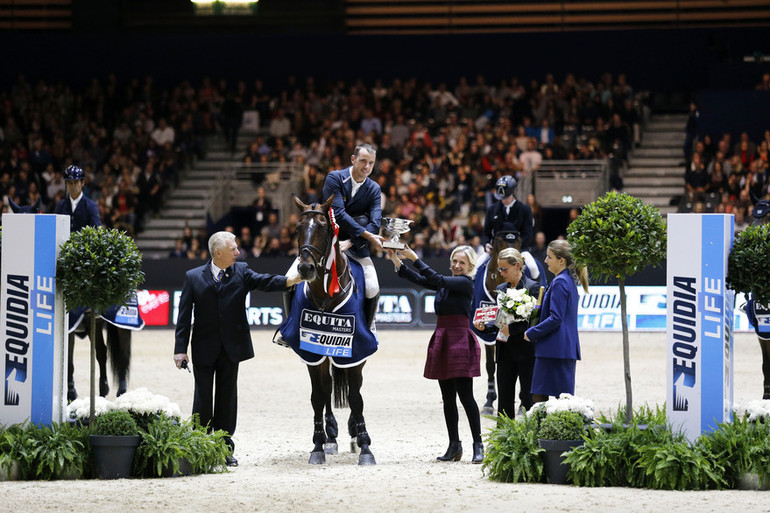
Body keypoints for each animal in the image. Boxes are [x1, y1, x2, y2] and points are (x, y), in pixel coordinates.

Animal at [274, 193, 376, 464]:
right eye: (298, 229)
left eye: (323, 228)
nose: (305, 268)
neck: (324, 294)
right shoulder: (312, 353)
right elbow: (318, 396)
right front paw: (318, 445)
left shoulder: (355, 350)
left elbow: (355, 396)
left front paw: (365, 446)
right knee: (328, 386)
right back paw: (331, 436)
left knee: (354, 388)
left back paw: (352, 433)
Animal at [468, 228, 544, 416]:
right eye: (498, 242)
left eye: (519, 242)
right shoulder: (489, 338)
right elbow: (490, 366)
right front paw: (489, 401)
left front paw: (522, 403)